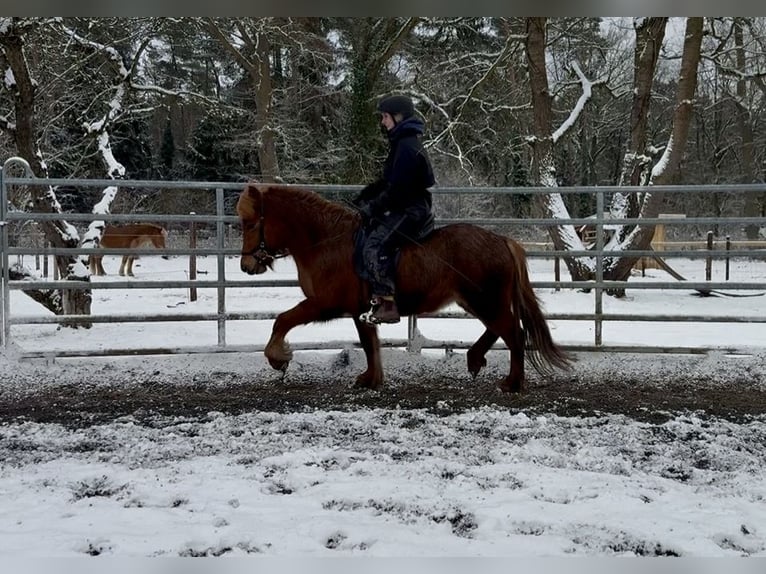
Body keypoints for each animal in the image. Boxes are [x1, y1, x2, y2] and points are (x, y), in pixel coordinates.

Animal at [236, 183, 572, 393]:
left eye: (250, 223)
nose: (246, 265)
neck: (326, 242)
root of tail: (502, 241)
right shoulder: (361, 310)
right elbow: (370, 344)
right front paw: (371, 379)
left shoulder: (324, 303)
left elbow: (283, 320)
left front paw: (278, 358)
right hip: (477, 300)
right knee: (500, 329)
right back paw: (475, 360)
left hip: (484, 300)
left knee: (513, 333)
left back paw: (512, 383)